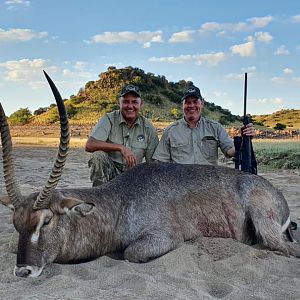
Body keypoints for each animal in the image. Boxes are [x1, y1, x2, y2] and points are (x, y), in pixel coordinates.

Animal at [0, 71, 298, 278]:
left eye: (47, 221)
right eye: (16, 222)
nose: (23, 271)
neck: (120, 201)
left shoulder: (165, 237)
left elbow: (131, 252)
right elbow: (12, 243)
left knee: (287, 250)